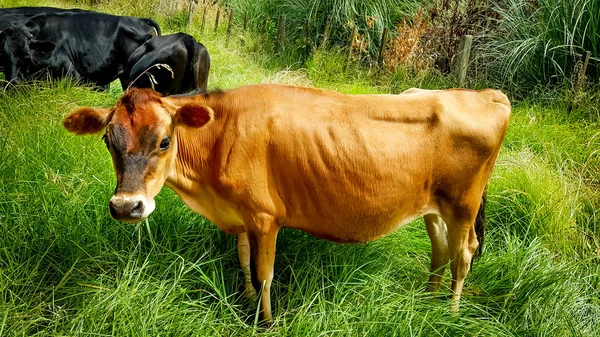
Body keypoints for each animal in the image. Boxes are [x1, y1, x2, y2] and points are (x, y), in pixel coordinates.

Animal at [63, 83, 508, 322]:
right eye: (108, 140)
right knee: (441, 251)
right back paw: (426, 300)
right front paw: (244, 297)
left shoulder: (264, 216)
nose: (126, 207)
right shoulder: (241, 214)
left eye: (164, 140)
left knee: (463, 254)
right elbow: (243, 258)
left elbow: (265, 274)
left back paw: (449, 312)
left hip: (464, 206)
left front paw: (265, 320)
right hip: (433, 206)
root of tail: (487, 94)